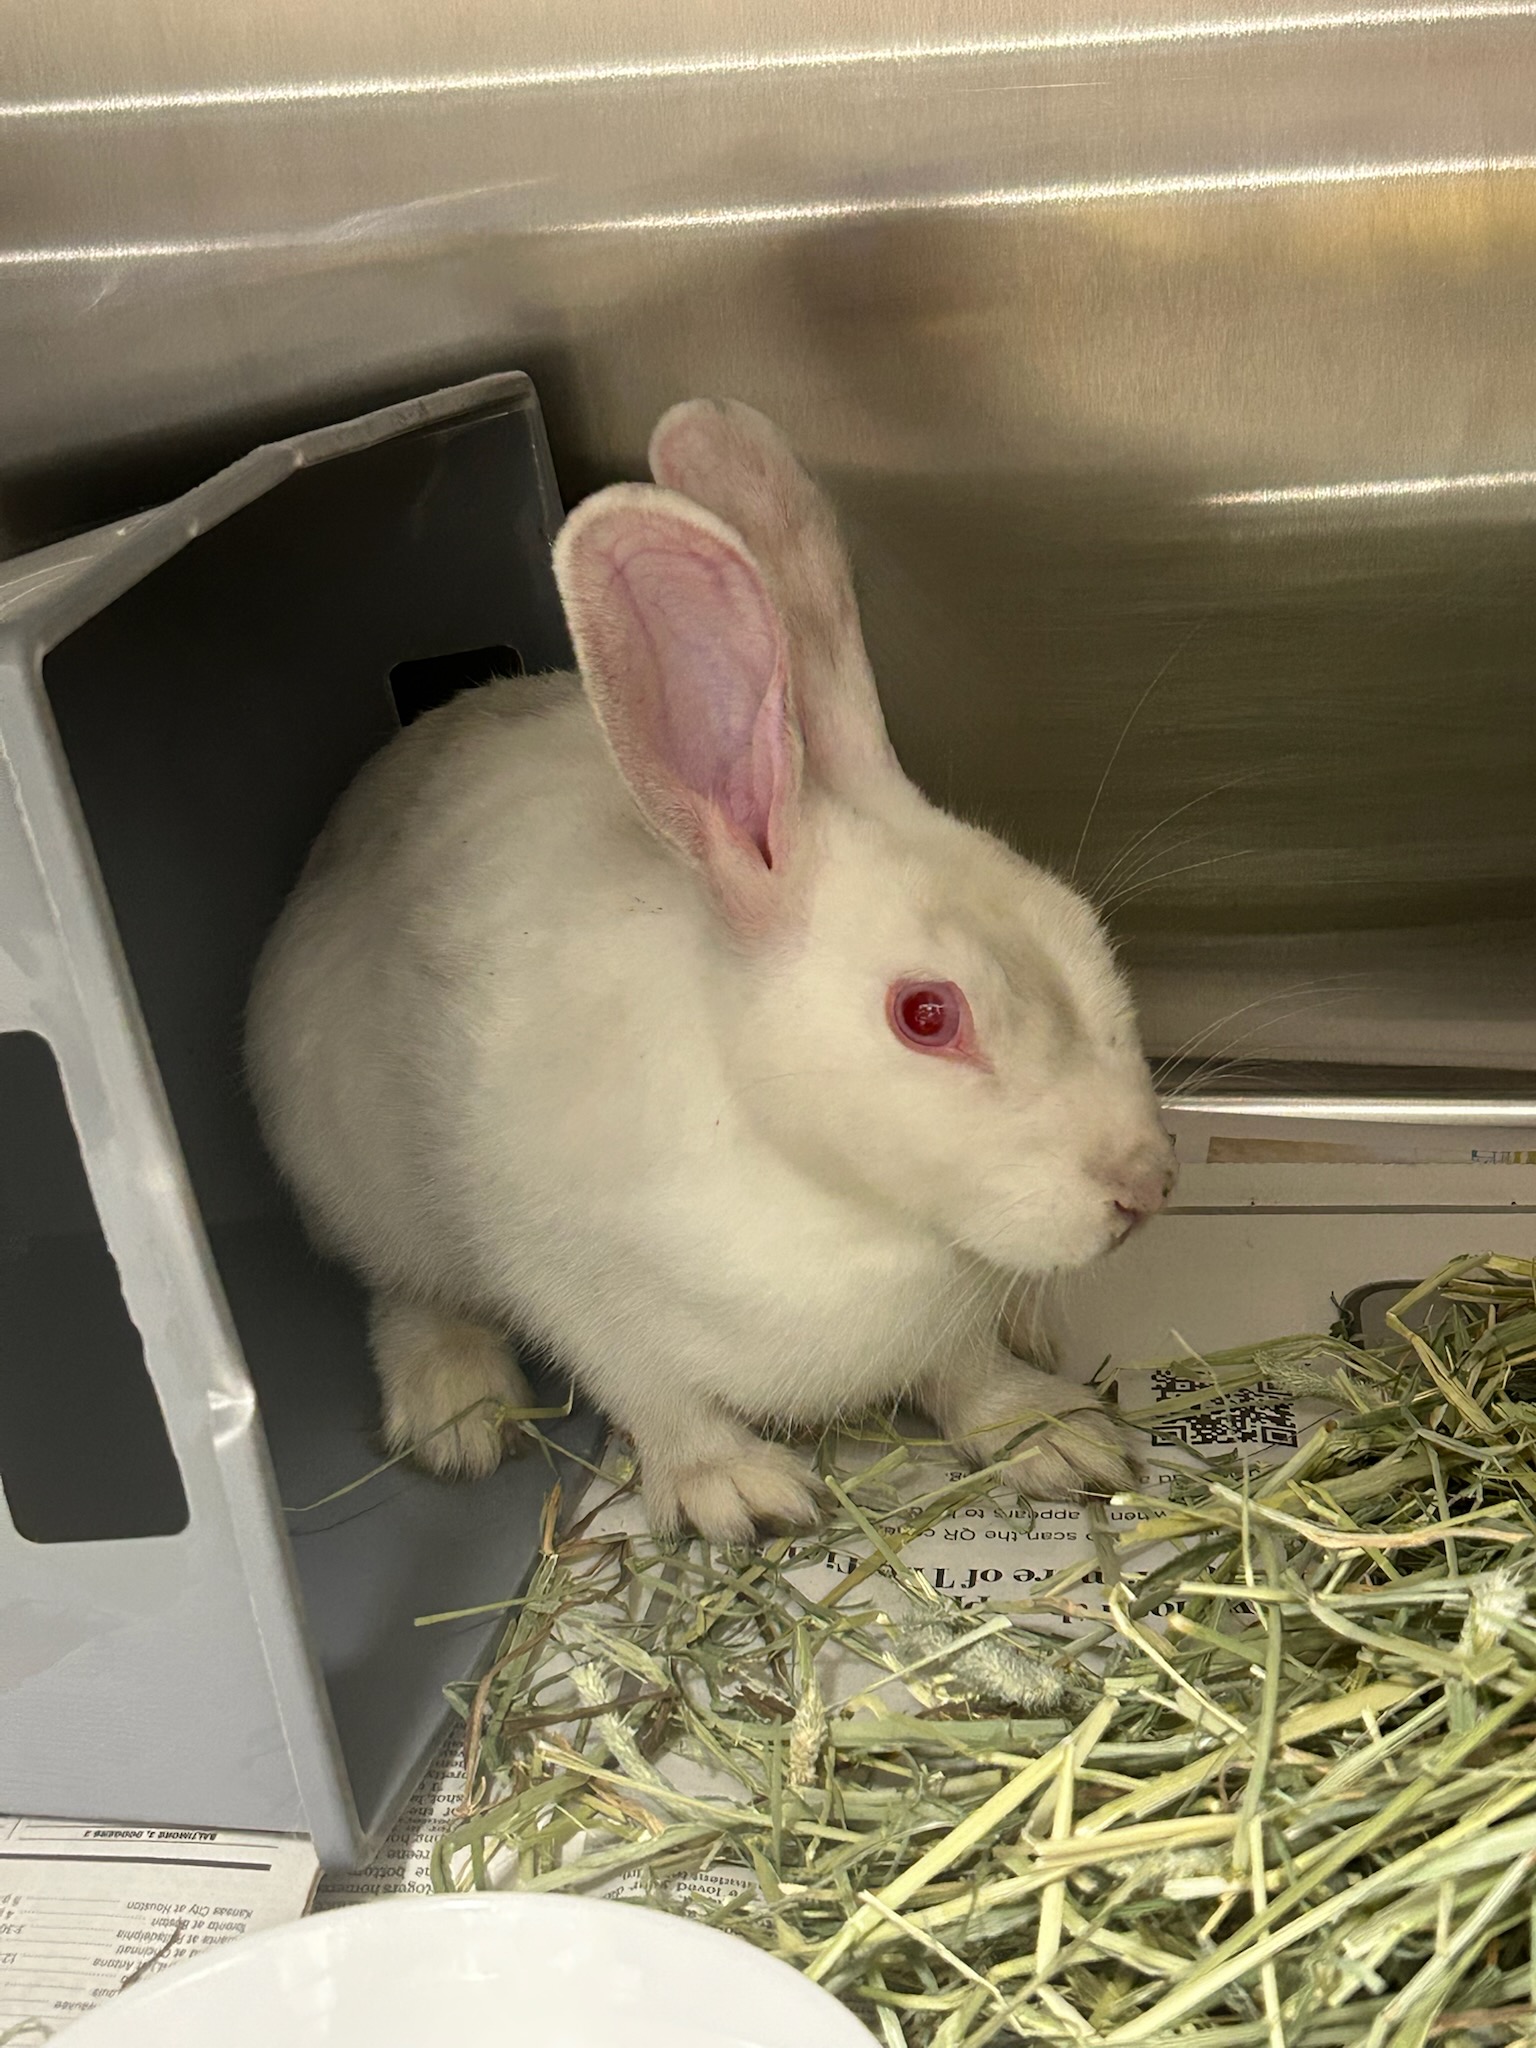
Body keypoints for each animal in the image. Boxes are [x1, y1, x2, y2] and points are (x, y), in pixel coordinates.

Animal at [245, 398, 1176, 1543]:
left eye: (1084, 929)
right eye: (925, 1014)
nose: (1147, 1185)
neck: (848, 1201)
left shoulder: (945, 1321)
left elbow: (966, 1371)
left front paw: (1056, 1432)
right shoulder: (574, 1281)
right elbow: (657, 1400)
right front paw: (735, 1492)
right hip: (352, 1174)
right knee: (407, 1289)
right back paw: (457, 1410)